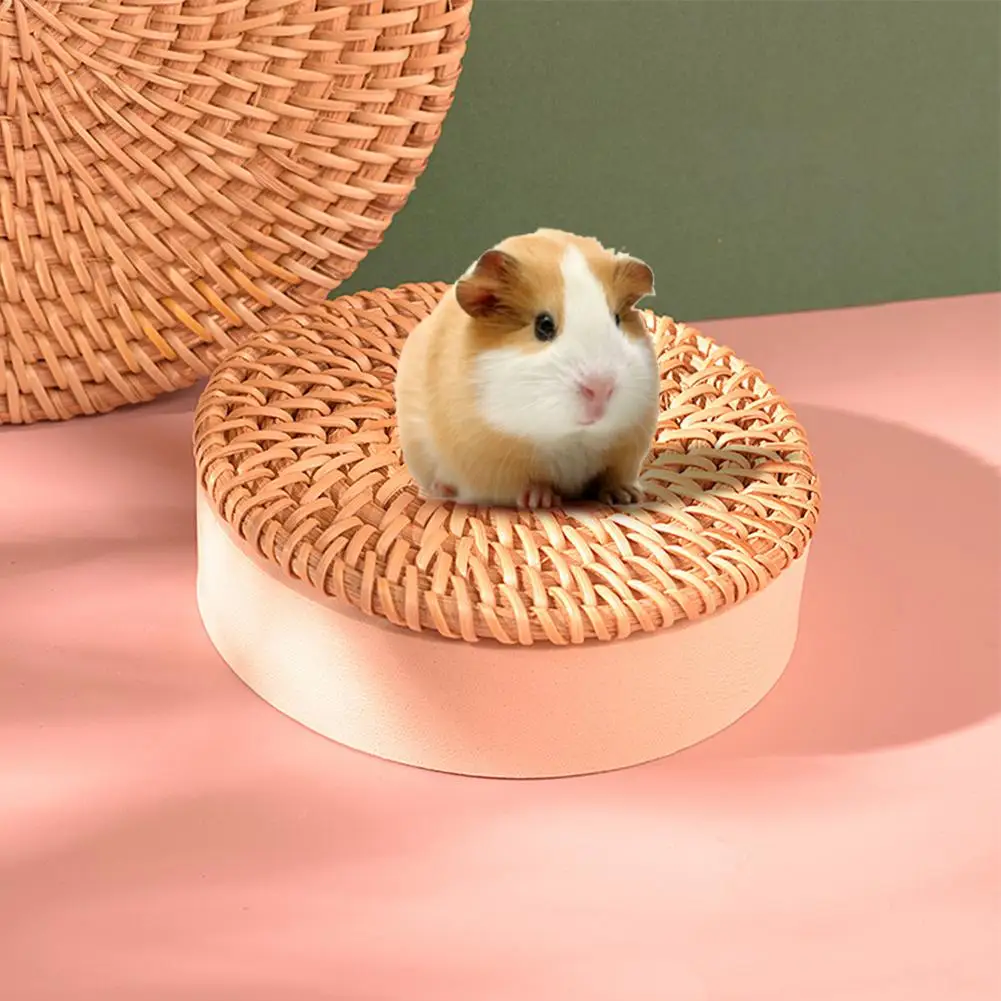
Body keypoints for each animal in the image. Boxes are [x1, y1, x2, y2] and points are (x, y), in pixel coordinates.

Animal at [394, 228, 659, 509]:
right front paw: (540, 501)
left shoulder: (626, 449)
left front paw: (627, 496)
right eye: (543, 326)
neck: (572, 437)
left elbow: (612, 476)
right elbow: (528, 484)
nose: (600, 388)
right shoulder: (496, 466)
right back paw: (440, 490)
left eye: (617, 319)